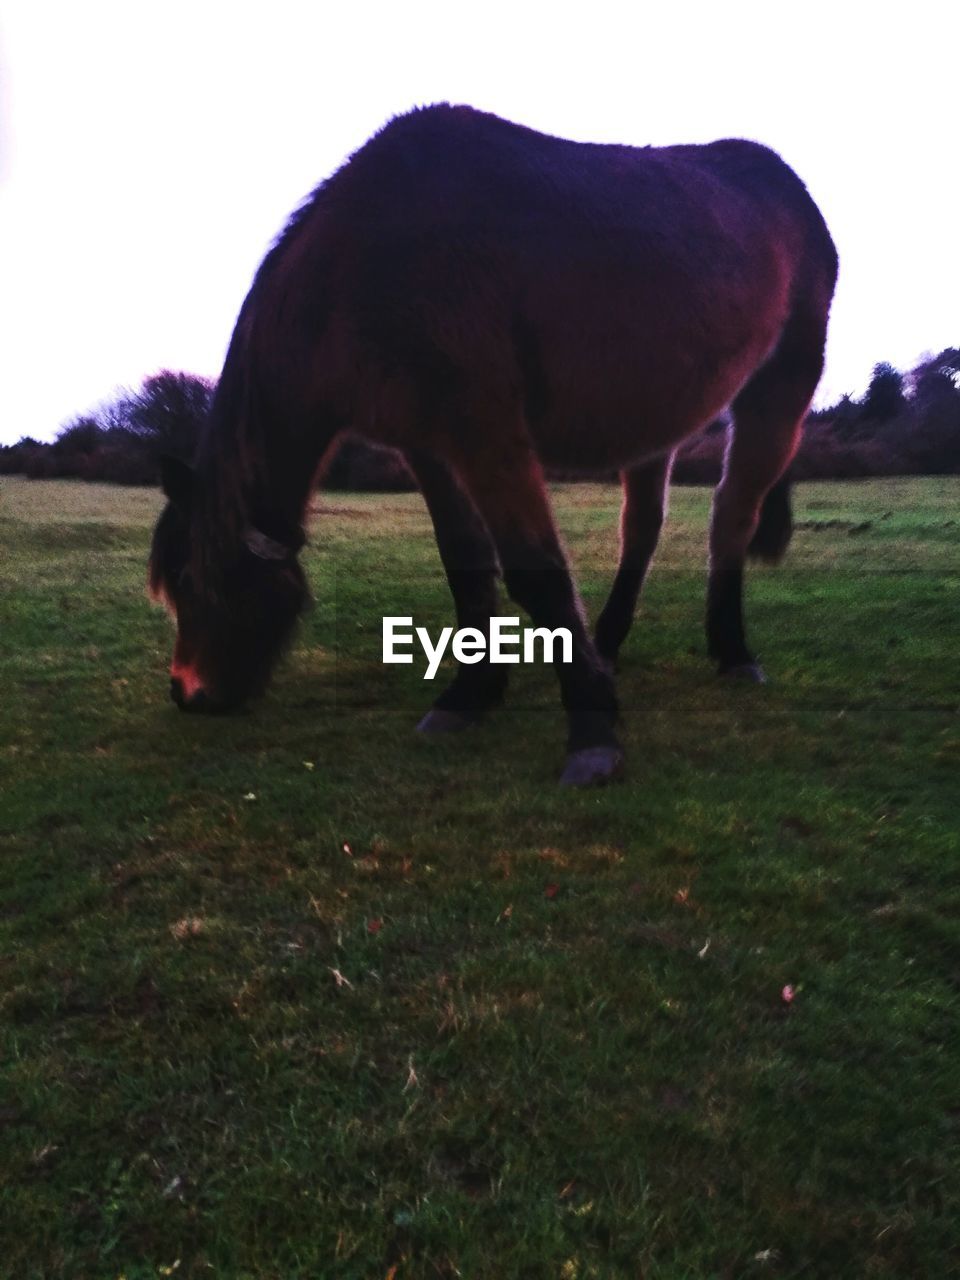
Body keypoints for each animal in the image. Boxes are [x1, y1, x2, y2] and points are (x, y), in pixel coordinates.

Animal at [146, 102, 839, 778]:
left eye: (202, 579)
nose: (188, 693)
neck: (372, 256)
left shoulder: (487, 435)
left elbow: (537, 571)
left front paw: (591, 731)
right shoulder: (428, 447)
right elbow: (465, 563)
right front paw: (471, 695)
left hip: (781, 387)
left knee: (733, 516)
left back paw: (732, 650)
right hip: (655, 418)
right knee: (642, 528)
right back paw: (608, 642)